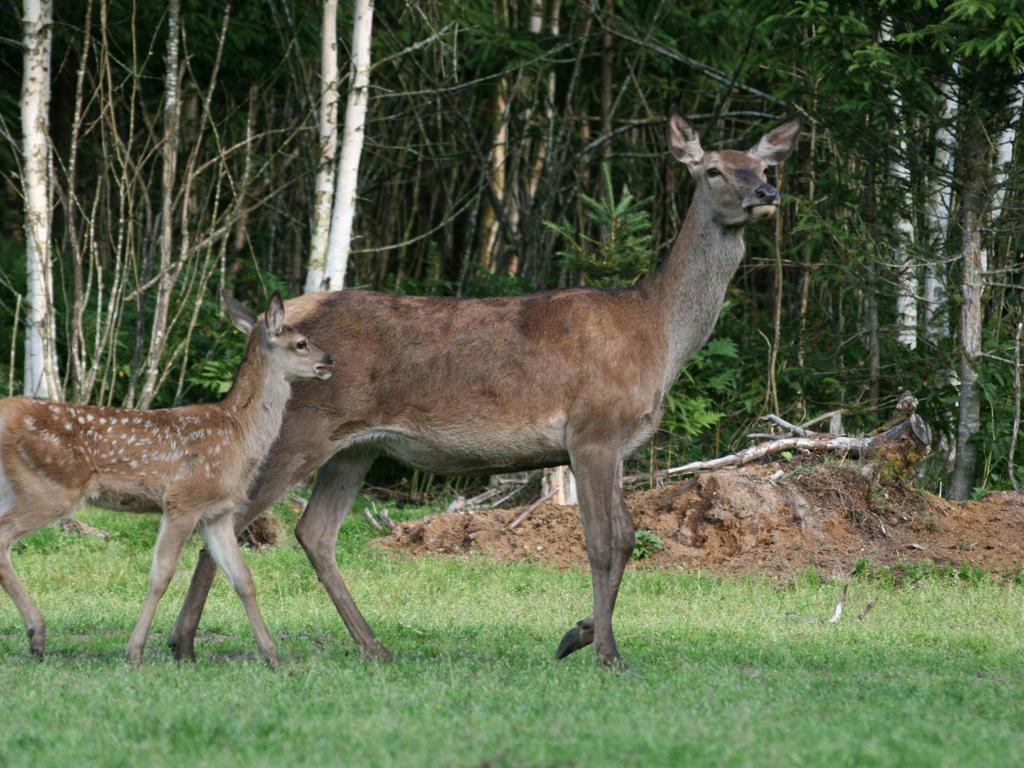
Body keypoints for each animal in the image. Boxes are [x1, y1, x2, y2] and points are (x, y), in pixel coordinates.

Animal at [0, 294, 331, 667]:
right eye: (301, 343)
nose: (328, 361)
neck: (238, 434)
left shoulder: (217, 514)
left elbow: (243, 579)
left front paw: (272, 655)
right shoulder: (183, 501)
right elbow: (162, 575)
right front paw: (134, 651)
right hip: (49, 488)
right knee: (3, 538)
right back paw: (37, 633)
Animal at [169, 112, 798, 667]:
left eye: (764, 164)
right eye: (713, 169)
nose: (767, 192)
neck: (657, 334)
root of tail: (262, 325)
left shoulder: (616, 443)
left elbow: (625, 537)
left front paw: (577, 635)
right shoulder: (592, 431)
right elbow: (601, 541)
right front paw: (607, 653)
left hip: (356, 445)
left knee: (315, 532)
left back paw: (373, 646)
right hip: (300, 428)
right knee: (232, 518)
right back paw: (184, 643)